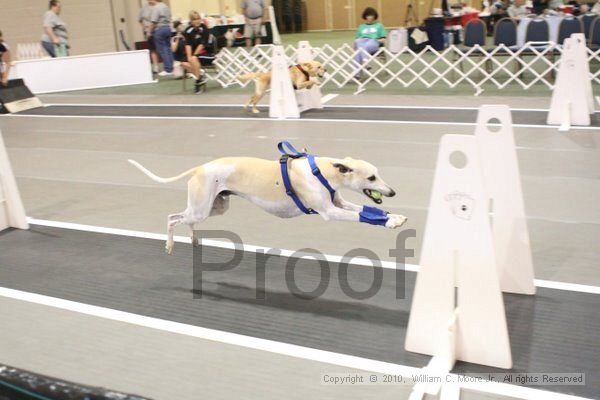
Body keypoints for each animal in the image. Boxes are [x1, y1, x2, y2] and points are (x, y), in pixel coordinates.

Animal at [128, 145, 406, 255]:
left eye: (378, 174)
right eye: (371, 177)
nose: (392, 192)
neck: (322, 171)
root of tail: (200, 167)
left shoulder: (338, 204)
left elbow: (364, 209)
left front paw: (394, 217)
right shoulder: (330, 212)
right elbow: (361, 215)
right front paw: (390, 222)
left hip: (214, 208)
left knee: (186, 220)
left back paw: (193, 239)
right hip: (201, 208)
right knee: (172, 218)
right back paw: (169, 245)